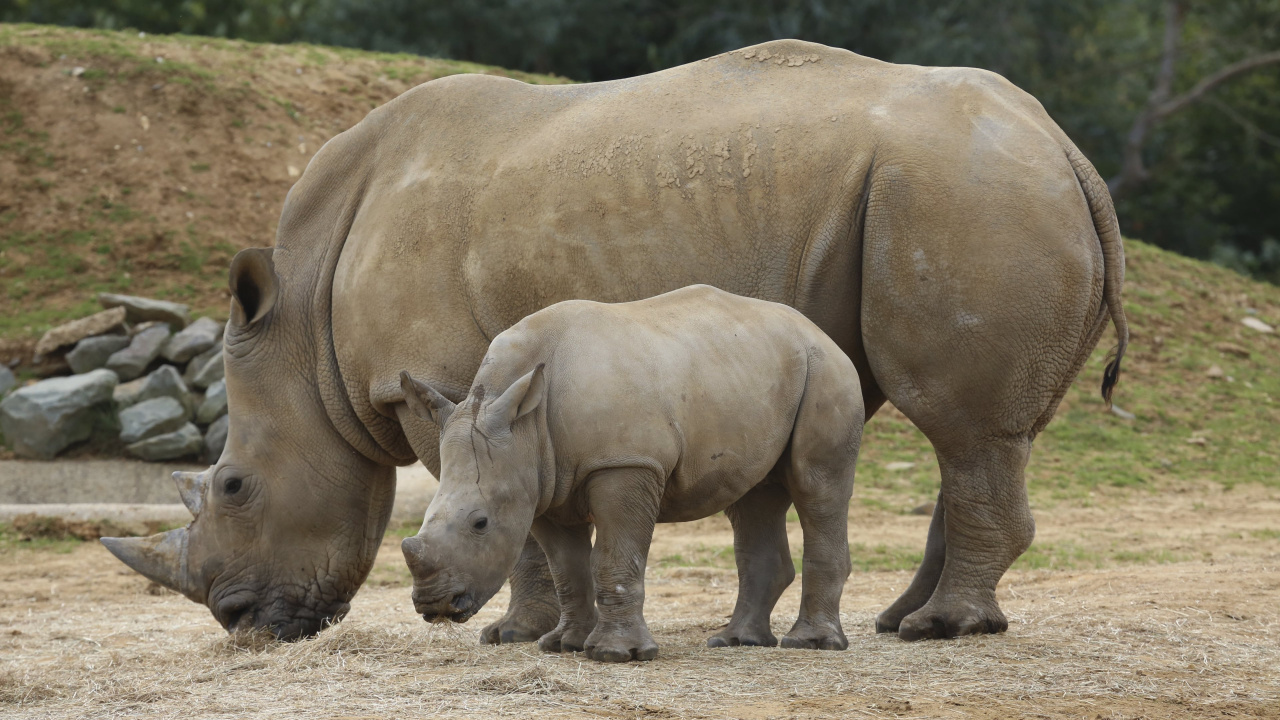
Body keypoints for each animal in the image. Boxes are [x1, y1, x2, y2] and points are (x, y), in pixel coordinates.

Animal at [399, 286, 865, 661]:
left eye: (480, 523)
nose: (433, 605)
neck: (524, 428)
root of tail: (816, 330)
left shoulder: (625, 462)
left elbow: (614, 557)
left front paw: (615, 654)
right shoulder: (541, 484)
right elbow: (567, 569)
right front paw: (564, 645)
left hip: (826, 371)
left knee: (816, 487)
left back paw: (812, 645)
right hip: (752, 375)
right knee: (753, 499)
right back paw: (735, 641)